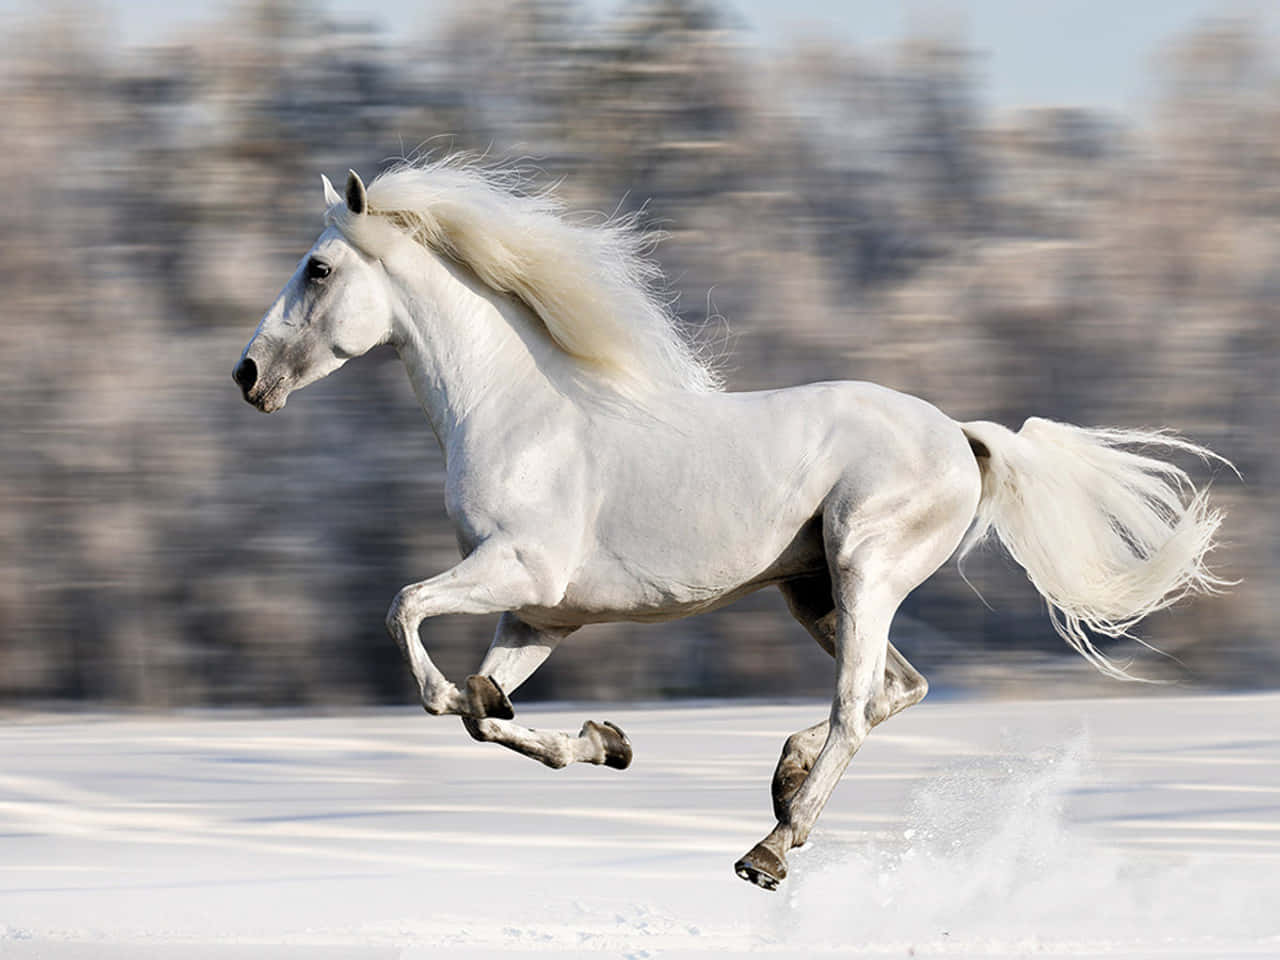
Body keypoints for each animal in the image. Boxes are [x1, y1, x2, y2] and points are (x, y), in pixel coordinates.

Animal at [233, 159, 1227, 890]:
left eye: (318, 268)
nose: (246, 375)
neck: (519, 414)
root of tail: (961, 435)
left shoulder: (519, 571)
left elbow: (408, 618)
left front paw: (476, 700)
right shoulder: (542, 615)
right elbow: (490, 717)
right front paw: (605, 742)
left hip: (864, 570)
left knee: (859, 707)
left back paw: (770, 849)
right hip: (813, 591)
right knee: (898, 689)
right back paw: (784, 783)